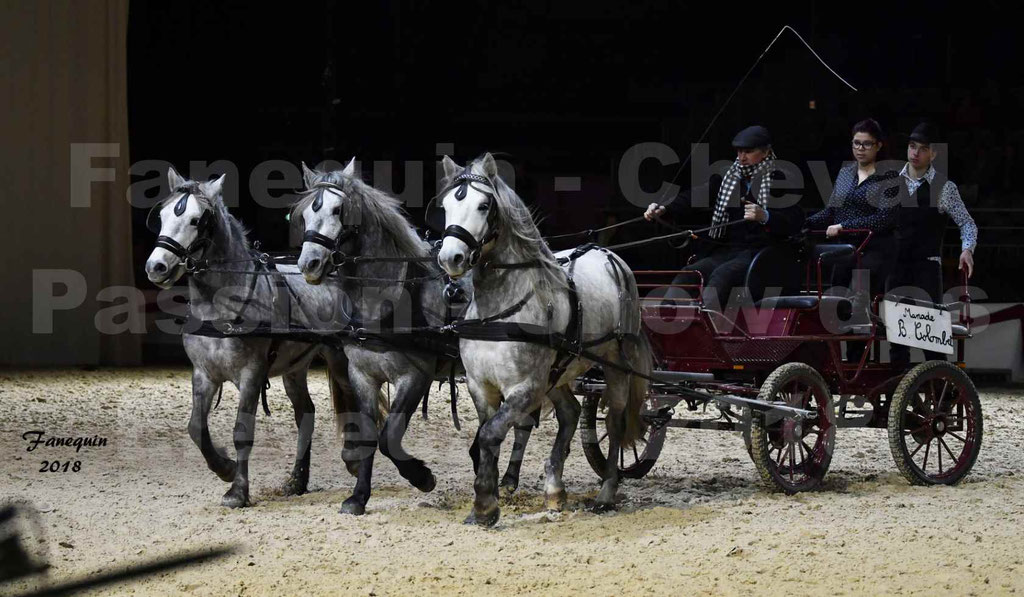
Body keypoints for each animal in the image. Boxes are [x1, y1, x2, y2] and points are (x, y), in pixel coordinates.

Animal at [144, 167, 360, 509]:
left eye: (196, 220)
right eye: (163, 216)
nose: (156, 266)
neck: (218, 305)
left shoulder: (251, 373)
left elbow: (241, 431)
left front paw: (238, 491)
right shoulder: (203, 374)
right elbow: (195, 428)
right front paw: (226, 469)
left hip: (338, 358)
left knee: (352, 400)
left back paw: (354, 460)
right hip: (294, 368)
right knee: (306, 414)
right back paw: (297, 480)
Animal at [294, 158, 540, 514]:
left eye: (338, 210)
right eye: (304, 215)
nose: (308, 263)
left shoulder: (415, 375)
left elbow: (389, 437)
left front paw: (422, 476)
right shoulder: (361, 374)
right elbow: (369, 435)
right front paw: (358, 496)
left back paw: (507, 478)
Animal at [436, 154, 651, 528]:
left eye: (483, 205)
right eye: (447, 205)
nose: (451, 258)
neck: (499, 311)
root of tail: (611, 256)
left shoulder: (526, 387)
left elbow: (491, 434)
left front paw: (485, 506)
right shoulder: (481, 386)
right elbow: (486, 436)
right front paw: (487, 501)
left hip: (615, 364)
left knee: (614, 421)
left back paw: (606, 493)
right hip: (559, 372)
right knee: (571, 412)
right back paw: (555, 489)